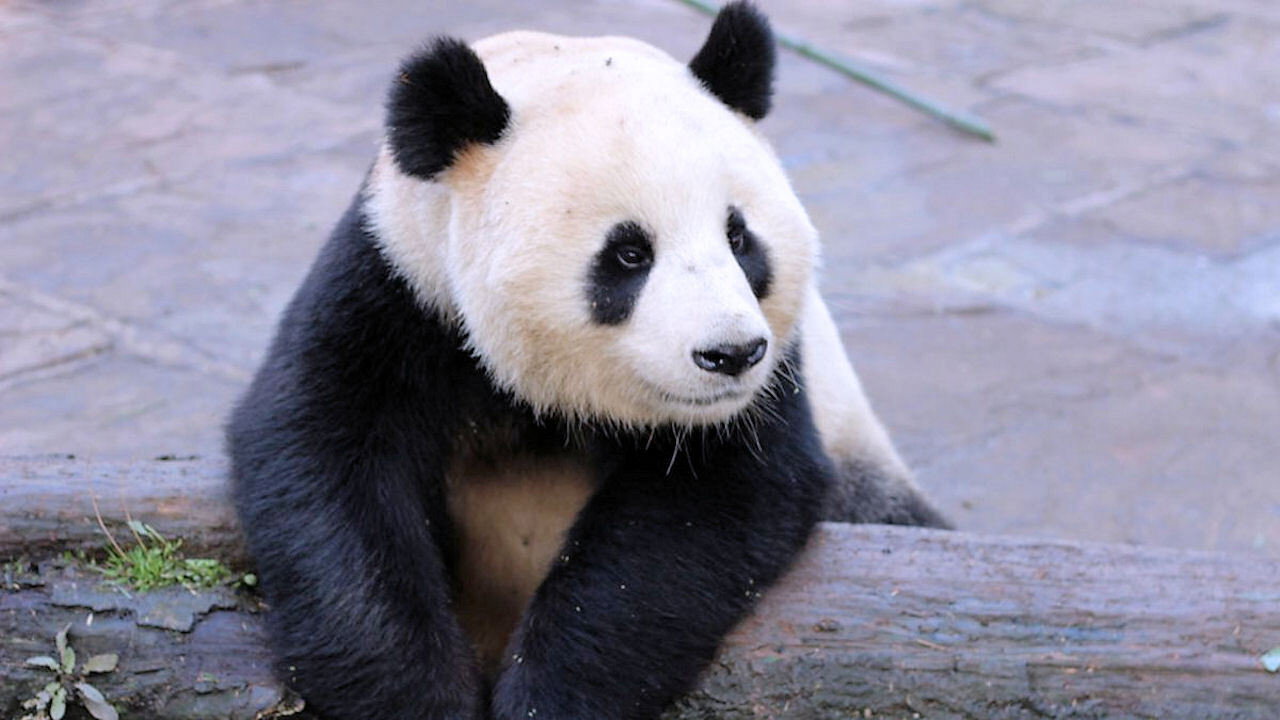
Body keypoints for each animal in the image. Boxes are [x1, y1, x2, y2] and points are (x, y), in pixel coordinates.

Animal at [227, 3, 948, 719]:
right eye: (629, 253)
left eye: (740, 238)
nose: (732, 354)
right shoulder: (400, 291)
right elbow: (326, 465)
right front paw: (419, 698)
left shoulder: (772, 389)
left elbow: (694, 521)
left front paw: (548, 697)